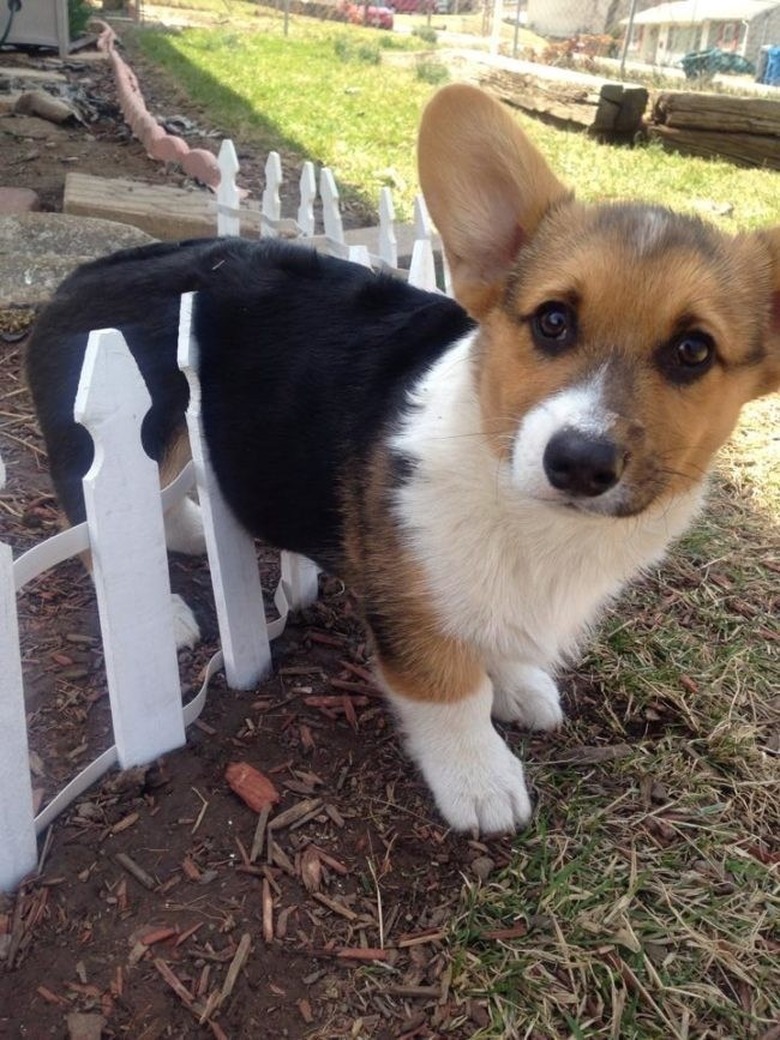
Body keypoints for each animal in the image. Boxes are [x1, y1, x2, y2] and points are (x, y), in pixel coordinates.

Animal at [24, 85, 780, 832]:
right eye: (553, 321)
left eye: (694, 350)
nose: (579, 463)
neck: (524, 505)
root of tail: (76, 277)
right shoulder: (409, 601)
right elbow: (451, 688)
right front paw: (479, 778)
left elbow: (496, 639)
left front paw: (519, 686)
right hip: (131, 444)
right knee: (96, 535)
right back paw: (169, 612)